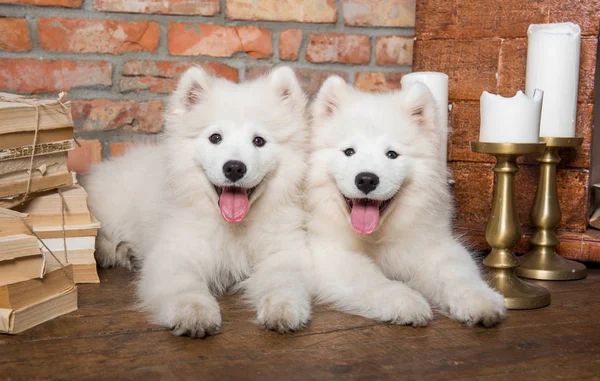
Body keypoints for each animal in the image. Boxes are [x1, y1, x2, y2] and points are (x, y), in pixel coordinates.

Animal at [84, 65, 314, 336]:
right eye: (215, 138)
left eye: (259, 141)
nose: (234, 168)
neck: (233, 228)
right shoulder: (176, 252)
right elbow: (185, 285)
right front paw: (195, 314)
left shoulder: (282, 250)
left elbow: (283, 278)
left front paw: (283, 308)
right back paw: (112, 252)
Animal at [308, 76, 508, 326]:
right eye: (349, 152)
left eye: (392, 154)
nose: (366, 180)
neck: (376, 237)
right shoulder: (326, 253)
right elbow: (372, 278)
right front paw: (406, 301)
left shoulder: (434, 245)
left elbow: (457, 273)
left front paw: (479, 299)